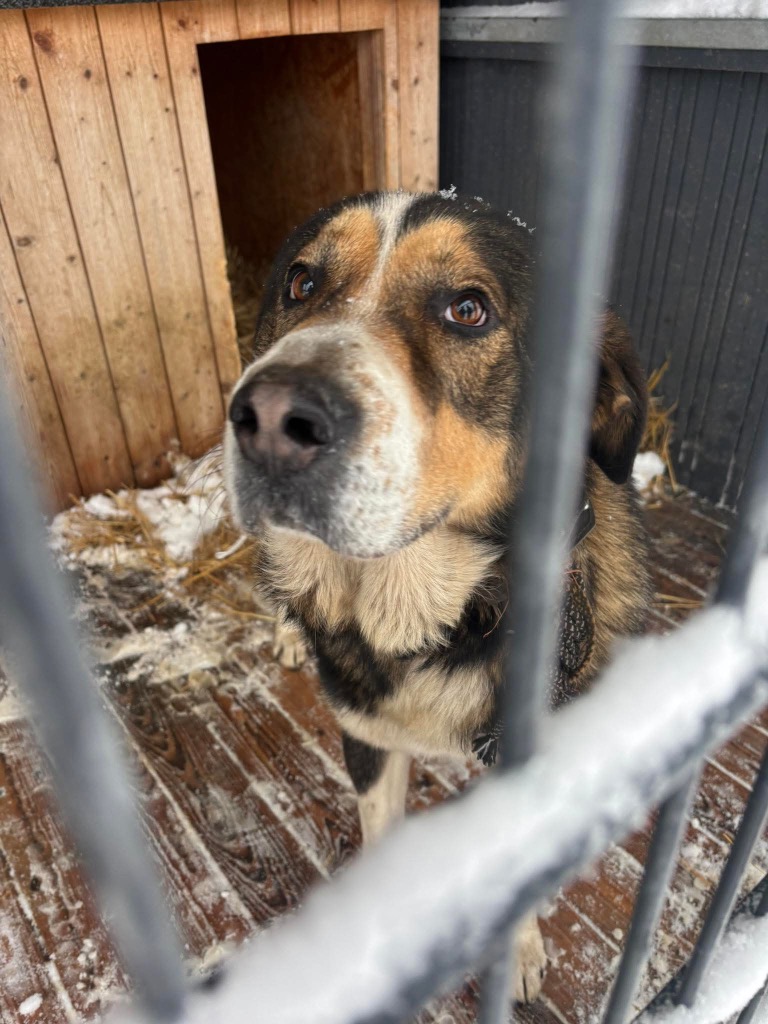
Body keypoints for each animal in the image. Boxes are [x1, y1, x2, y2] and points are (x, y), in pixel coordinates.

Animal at [223, 190, 651, 1003]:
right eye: (300, 281)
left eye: (468, 309)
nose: (268, 420)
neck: (434, 617)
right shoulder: (365, 737)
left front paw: (517, 952)